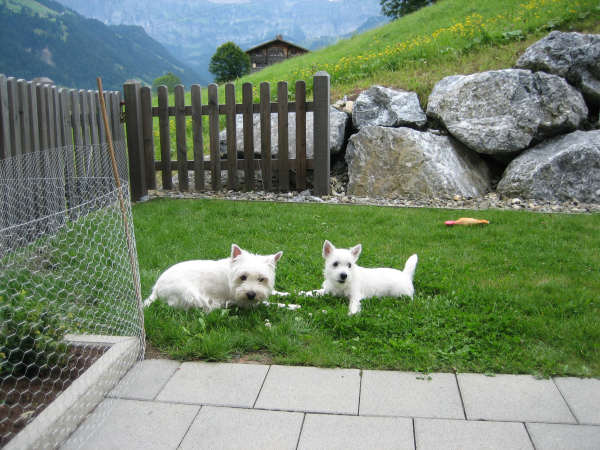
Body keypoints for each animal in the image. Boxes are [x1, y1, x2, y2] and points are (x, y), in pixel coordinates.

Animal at [143, 244, 294, 312]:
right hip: (191, 295)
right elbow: (272, 304)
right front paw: (294, 306)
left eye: (261, 279)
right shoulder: (245, 303)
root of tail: (156, 288)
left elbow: (277, 292)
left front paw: (294, 293)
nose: (251, 294)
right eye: (243, 277)